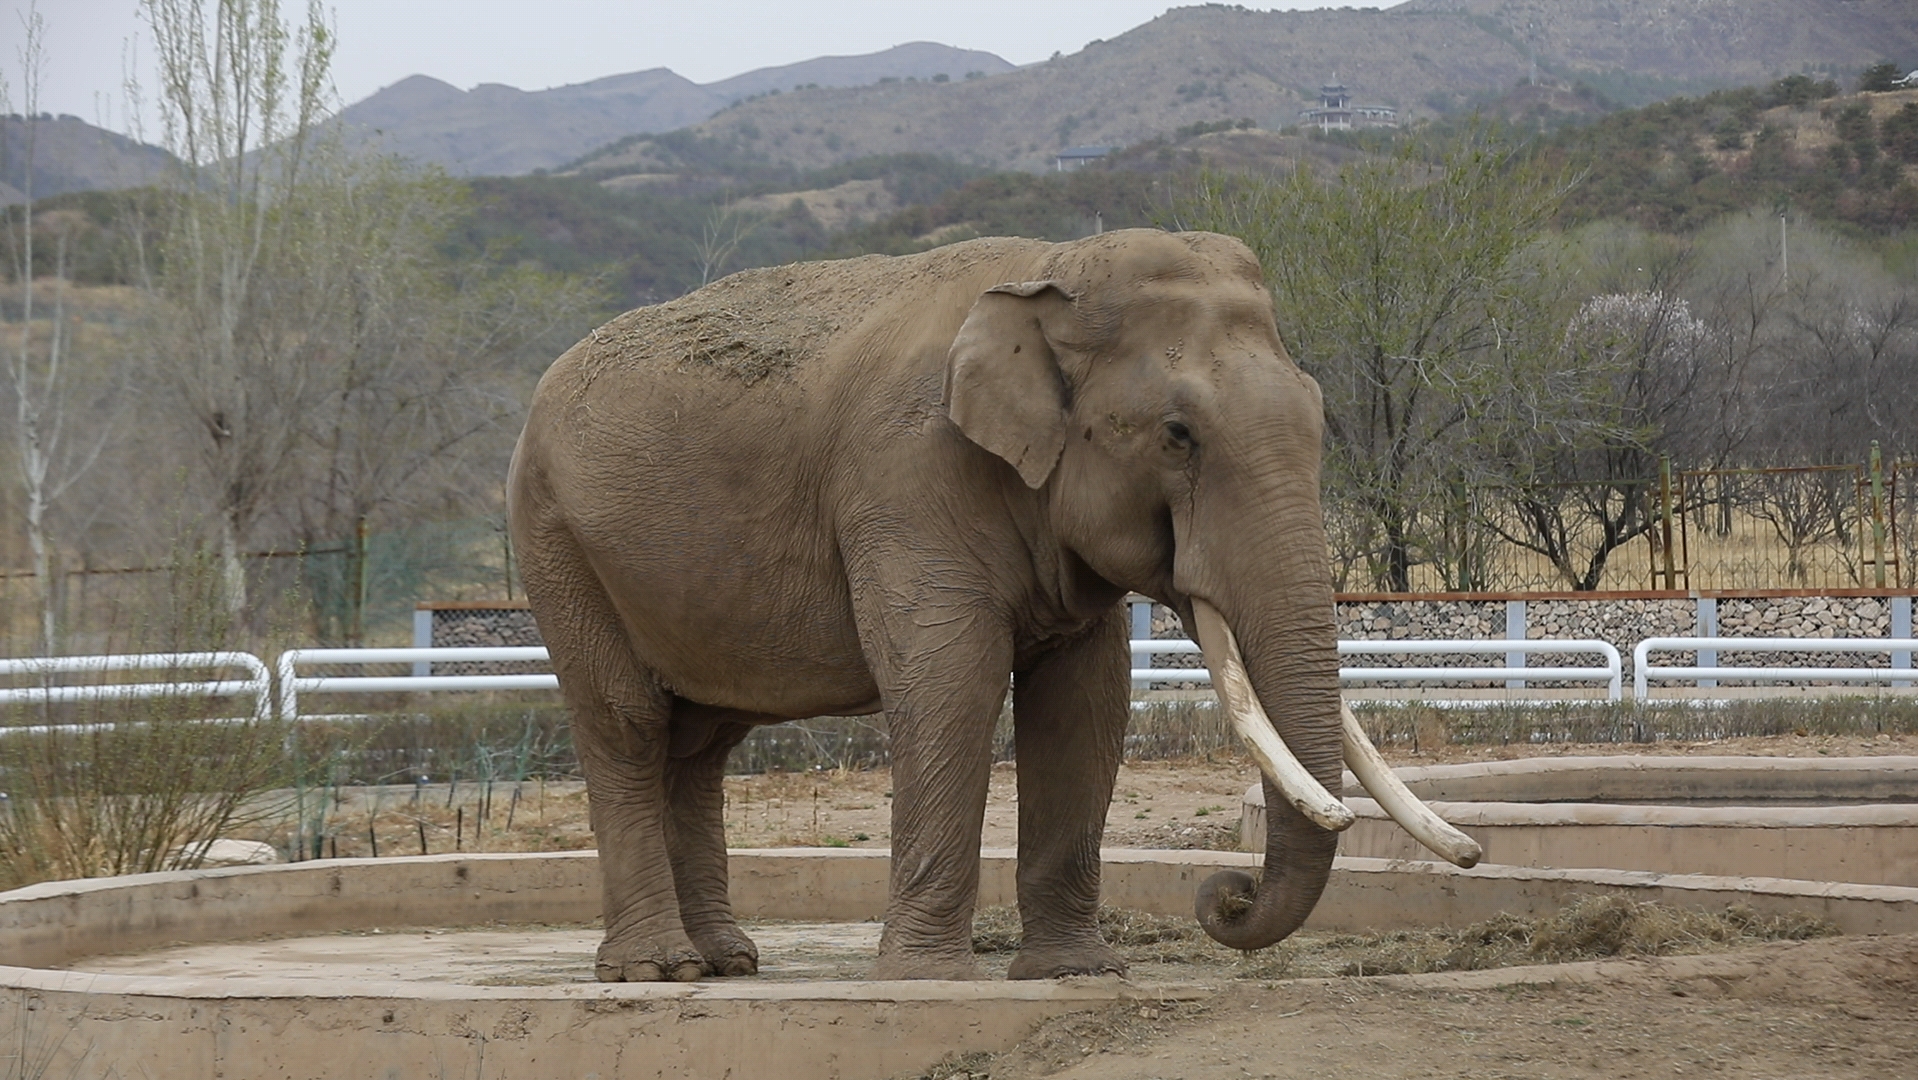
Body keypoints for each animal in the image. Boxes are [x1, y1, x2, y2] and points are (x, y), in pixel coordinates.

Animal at [502, 232, 1473, 982]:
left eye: (1317, 415)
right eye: (1177, 435)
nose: (1224, 895)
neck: (1053, 270)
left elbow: (1086, 705)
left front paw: (1076, 974)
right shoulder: (906, 478)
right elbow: (952, 683)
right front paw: (927, 981)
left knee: (700, 744)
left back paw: (727, 963)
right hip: (555, 539)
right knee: (627, 724)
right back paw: (657, 970)